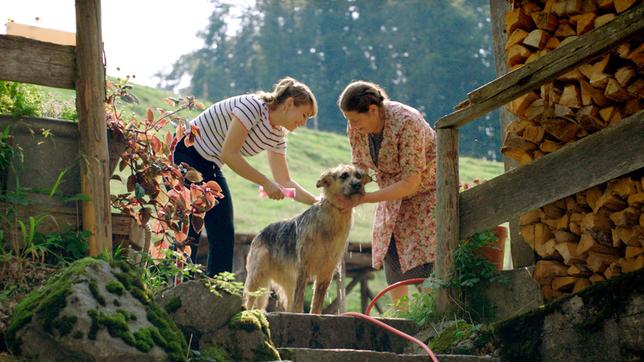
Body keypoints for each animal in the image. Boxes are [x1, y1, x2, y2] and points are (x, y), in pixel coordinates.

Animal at [243, 165, 372, 314]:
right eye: (344, 175)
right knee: (249, 301)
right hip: (257, 276)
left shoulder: (326, 272)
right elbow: (299, 302)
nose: (358, 185)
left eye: (359, 176)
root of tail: (259, 233)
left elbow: (316, 303)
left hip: (288, 283)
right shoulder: (303, 268)